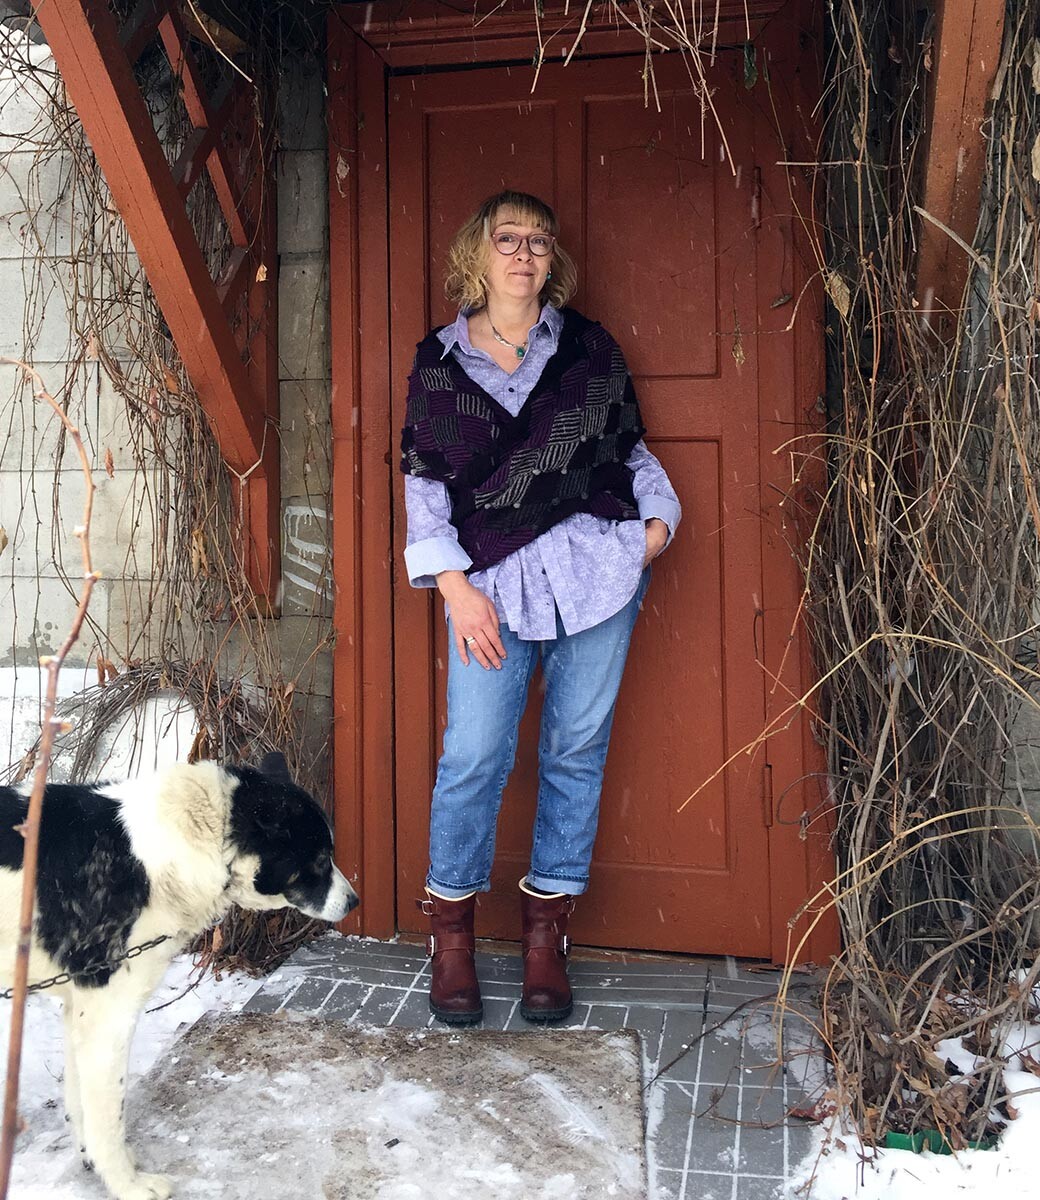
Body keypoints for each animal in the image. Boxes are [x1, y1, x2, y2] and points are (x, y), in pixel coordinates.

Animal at [0, 751, 358, 1200]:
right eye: (320, 860)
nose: (354, 901)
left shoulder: (79, 1010)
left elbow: (80, 1101)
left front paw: (94, 1163)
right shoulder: (108, 1017)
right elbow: (109, 1114)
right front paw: (127, 1184)